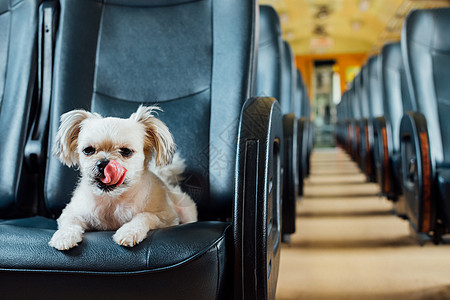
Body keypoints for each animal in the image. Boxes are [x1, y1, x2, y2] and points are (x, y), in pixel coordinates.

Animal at [48, 105, 197, 251]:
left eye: (126, 151)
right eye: (88, 150)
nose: (103, 163)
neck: (113, 200)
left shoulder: (166, 217)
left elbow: (145, 215)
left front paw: (129, 231)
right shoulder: (71, 212)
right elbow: (70, 222)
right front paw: (64, 236)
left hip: (186, 210)